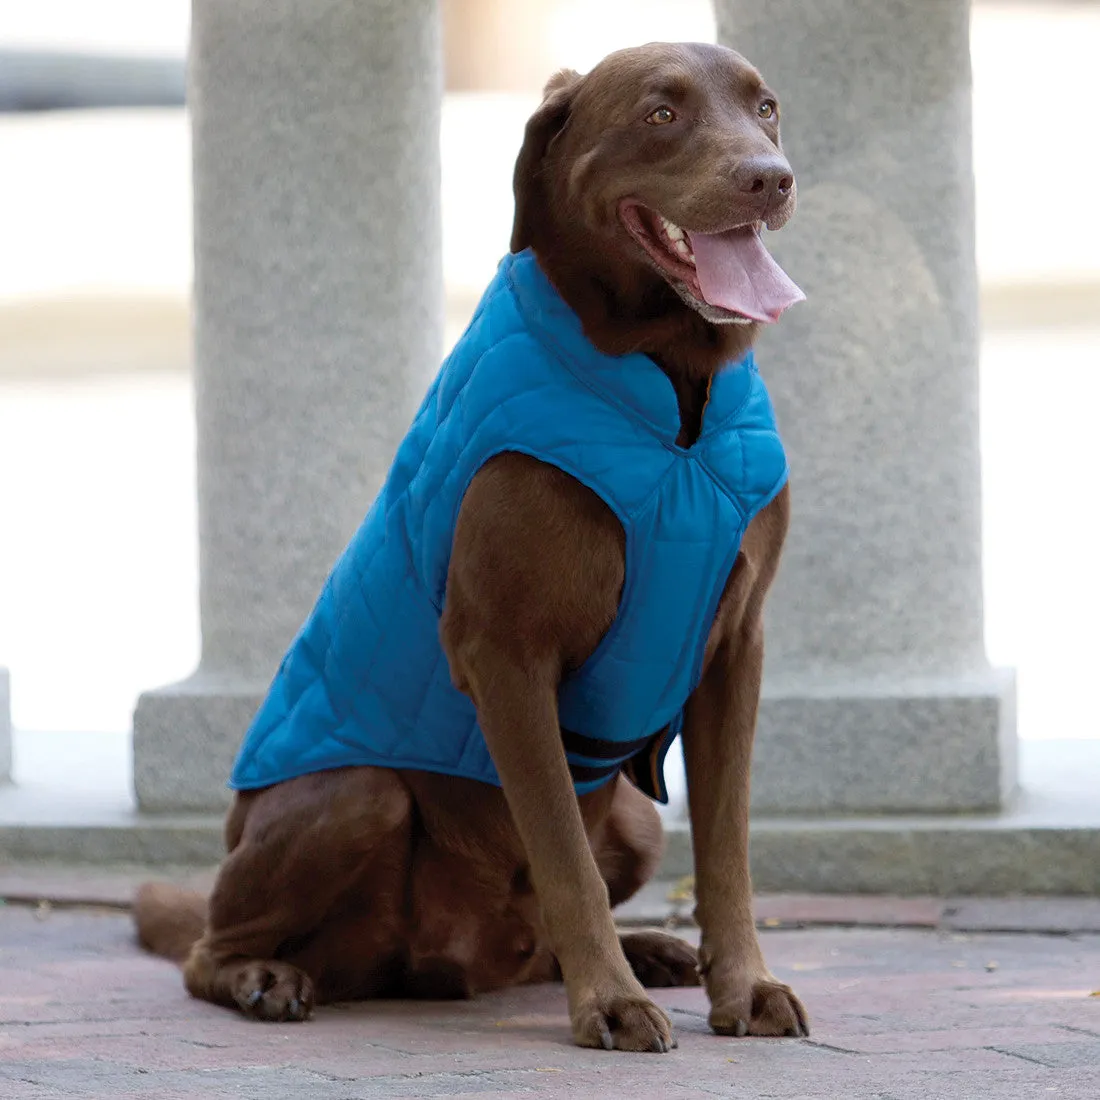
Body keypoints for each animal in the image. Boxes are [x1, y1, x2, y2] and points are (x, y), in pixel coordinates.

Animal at [135, 42, 809, 1051]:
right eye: (660, 115)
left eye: (765, 109)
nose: (770, 179)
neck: (673, 400)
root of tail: (452, 963)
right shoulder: (506, 652)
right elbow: (563, 851)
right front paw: (609, 1003)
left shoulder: (736, 646)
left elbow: (726, 849)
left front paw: (743, 987)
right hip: (354, 795)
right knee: (207, 946)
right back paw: (265, 977)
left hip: (634, 826)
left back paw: (651, 950)